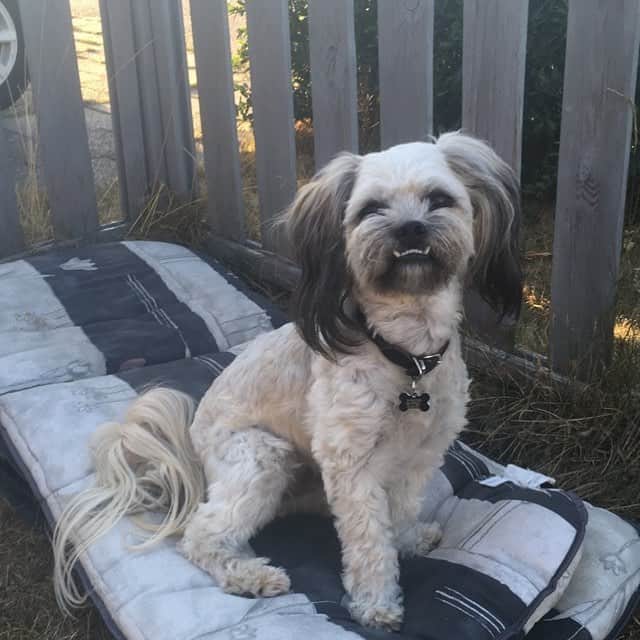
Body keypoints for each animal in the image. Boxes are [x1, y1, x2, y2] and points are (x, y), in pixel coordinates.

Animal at [52, 131, 524, 632]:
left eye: (439, 199)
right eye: (371, 209)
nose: (410, 229)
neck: (406, 356)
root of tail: (193, 452)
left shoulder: (421, 454)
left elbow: (400, 509)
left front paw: (409, 539)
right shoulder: (352, 466)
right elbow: (368, 541)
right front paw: (376, 603)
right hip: (262, 458)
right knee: (201, 534)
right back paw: (252, 576)